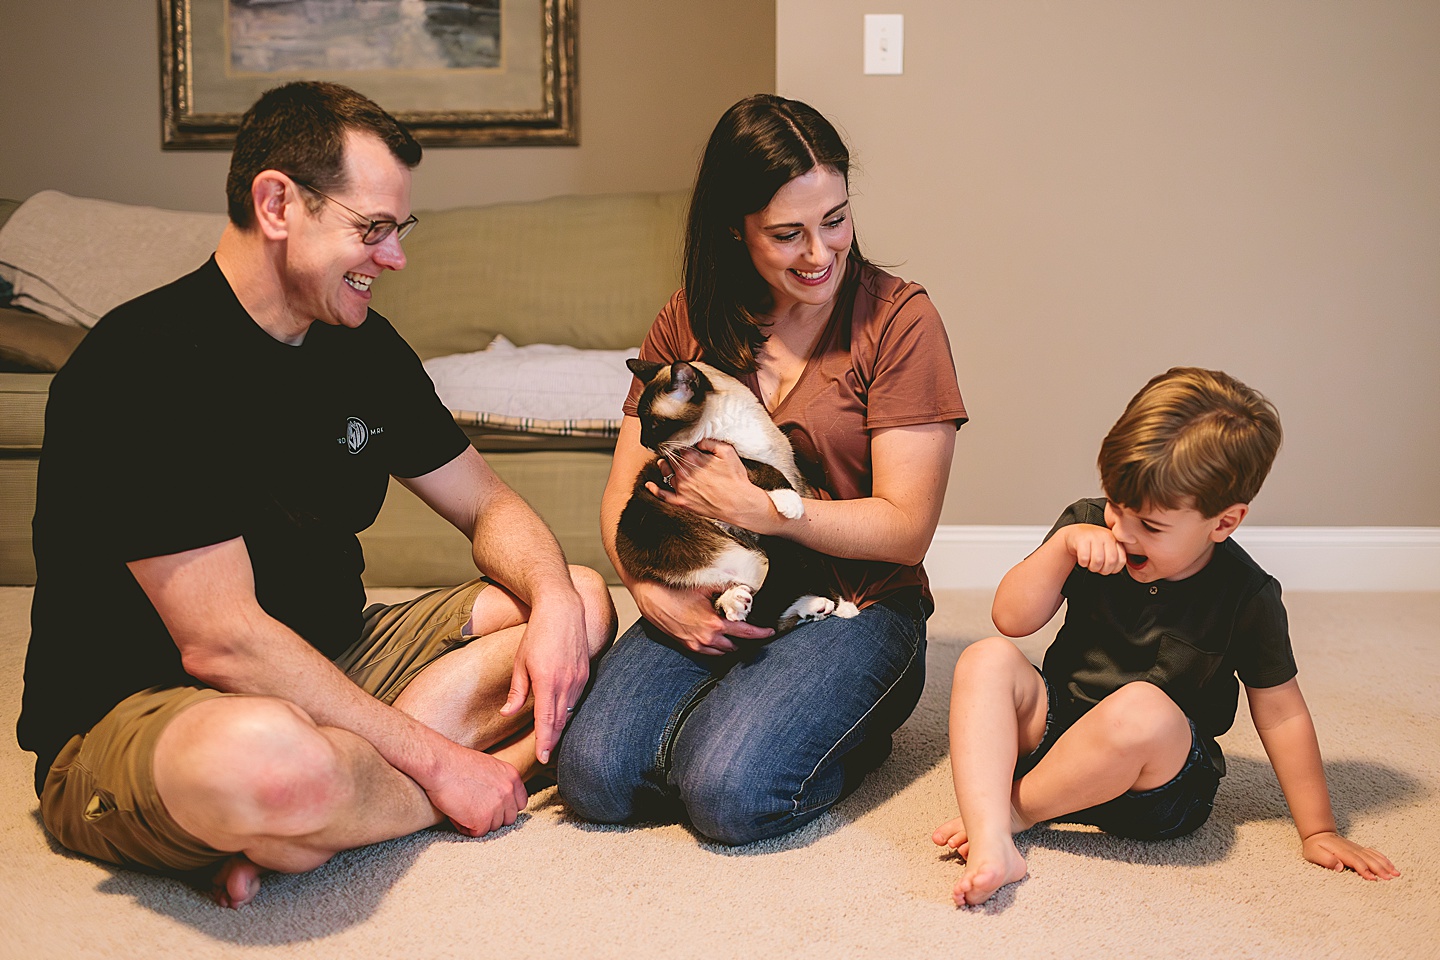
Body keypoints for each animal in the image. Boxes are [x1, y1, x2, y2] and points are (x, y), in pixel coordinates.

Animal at [616, 356, 858, 633]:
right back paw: (738, 603)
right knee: (752, 606)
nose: (644, 442)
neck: (733, 426)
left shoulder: (798, 480)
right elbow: (766, 468)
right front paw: (789, 502)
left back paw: (820, 607)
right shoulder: (733, 460)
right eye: (642, 423)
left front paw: (844, 607)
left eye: (654, 425)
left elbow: (823, 570)